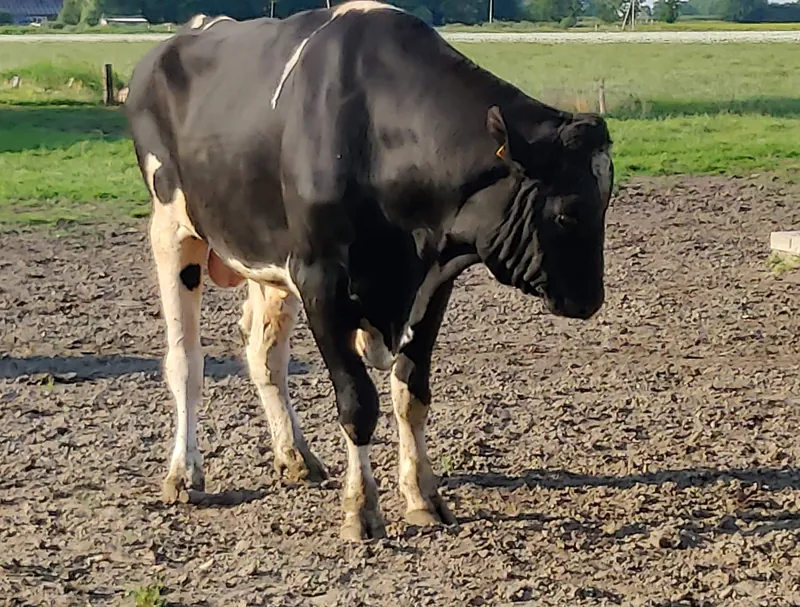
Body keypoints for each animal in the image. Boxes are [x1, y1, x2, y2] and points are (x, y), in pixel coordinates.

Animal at [124, 0, 614, 541]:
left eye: (607, 200)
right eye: (568, 212)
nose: (589, 299)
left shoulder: (432, 285)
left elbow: (411, 393)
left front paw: (422, 496)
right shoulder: (320, 283)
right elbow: (358, 403)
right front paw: (361, 509)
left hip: (264, 258)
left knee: (263, 354)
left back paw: (295, 457)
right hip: (173, 229)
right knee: (185, 361)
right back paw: (184, 473)